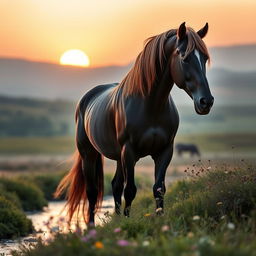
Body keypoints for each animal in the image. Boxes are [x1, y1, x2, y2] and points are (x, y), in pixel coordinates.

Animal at [54, 22, 214, 226]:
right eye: (184, 57)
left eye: (205, 58)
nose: (206, 102)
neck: (150, 105)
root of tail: (87, 98)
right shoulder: (129, 152)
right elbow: (130, 190)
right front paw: (127, 223)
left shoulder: (164, 151)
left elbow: (159, 188)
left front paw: (159, 221)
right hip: (89, 154)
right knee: (91, 192)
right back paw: (91, 226)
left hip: (117, 156)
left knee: (115, 185)